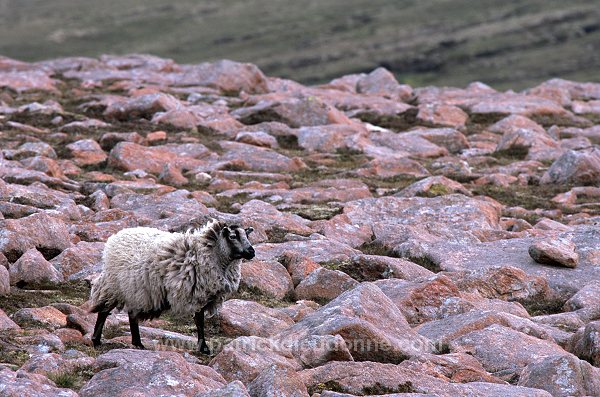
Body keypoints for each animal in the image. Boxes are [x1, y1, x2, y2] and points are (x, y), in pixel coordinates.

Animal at [88, 220, 253, 352]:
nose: (252, 252)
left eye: (247, 235)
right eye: (233, 236)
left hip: (136, 289)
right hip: (116, 285)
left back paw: (137, 343)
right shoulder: (197, 294)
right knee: (104, 310)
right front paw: (204, 348)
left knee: (131, 314)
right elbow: (199, 322)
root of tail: (114, 238)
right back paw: (96, 340)